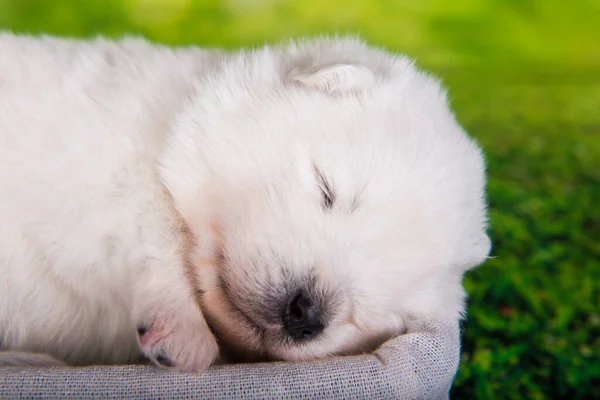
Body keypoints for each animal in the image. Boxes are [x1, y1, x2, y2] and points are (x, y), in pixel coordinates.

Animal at [0, 32, 488, 374]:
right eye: (327, 189)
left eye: (384, 307)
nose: (305, 313)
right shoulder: (105, 155)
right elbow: (156, 222)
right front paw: (183, 329)